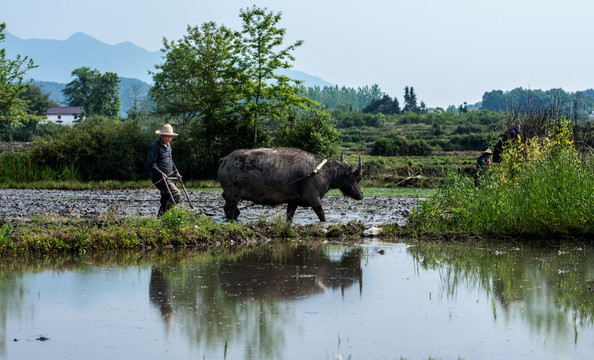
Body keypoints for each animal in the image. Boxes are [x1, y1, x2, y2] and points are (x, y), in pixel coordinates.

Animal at [215, 147, 364, 221]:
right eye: (358, 177)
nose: (361, 195)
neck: (323, 172)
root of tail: (224, 160)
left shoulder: (293, 201)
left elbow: (289, 216)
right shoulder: (313, 198)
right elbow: (322, 215)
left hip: (231, 194)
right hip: (234, 194)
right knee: (228, 209)